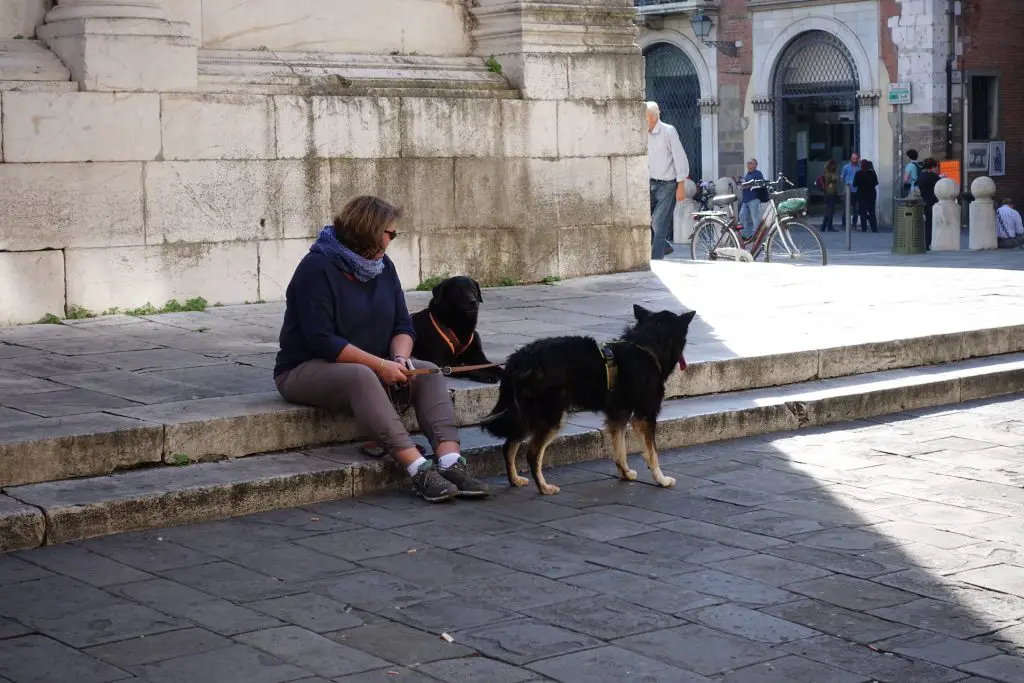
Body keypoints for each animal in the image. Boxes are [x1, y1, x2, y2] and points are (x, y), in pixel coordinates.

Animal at [481, 307, 696, 493]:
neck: (647, 346)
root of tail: (517, 360)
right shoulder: (645, 416)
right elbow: (652, 453)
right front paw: (661, 479)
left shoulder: (618, 415)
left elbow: (620, 449)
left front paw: (625, 473)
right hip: (551, 417)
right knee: (532, 454)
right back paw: (544, 488)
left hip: (527, 414)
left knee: (509, 445)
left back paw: (514, 479)